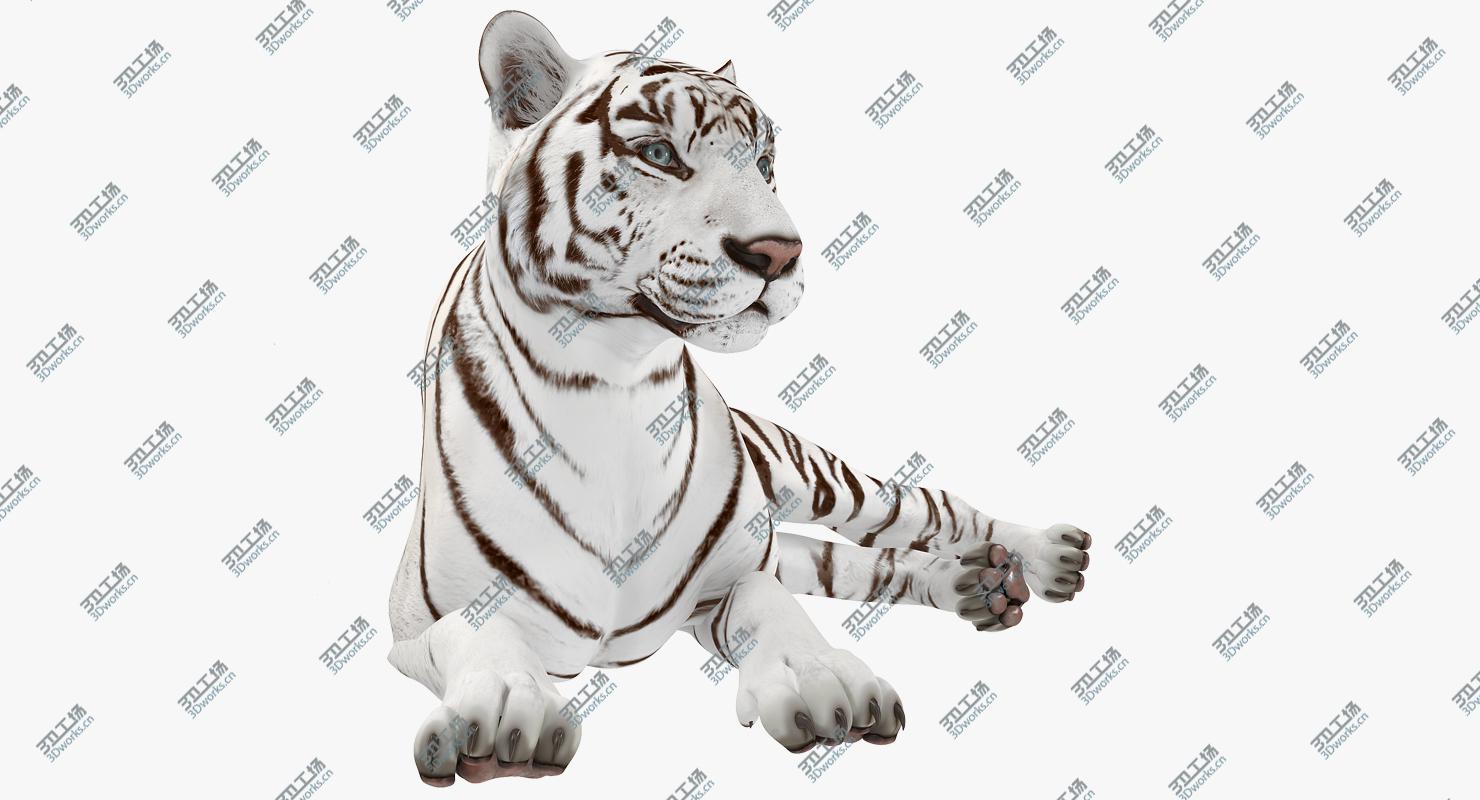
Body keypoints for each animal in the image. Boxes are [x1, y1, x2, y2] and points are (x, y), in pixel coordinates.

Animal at [387, 10, 1093, 785]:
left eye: (763, 161)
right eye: (659, 153)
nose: (780, 254)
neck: (613, 379)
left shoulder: (731, 578)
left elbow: (767, 600)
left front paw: (821, 678)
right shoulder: (414, 622)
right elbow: (471, 632)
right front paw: (504, 708)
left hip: (823, 481)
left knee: (925, 510)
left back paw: (1042, 557)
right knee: (855, 563)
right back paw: (977, 587)